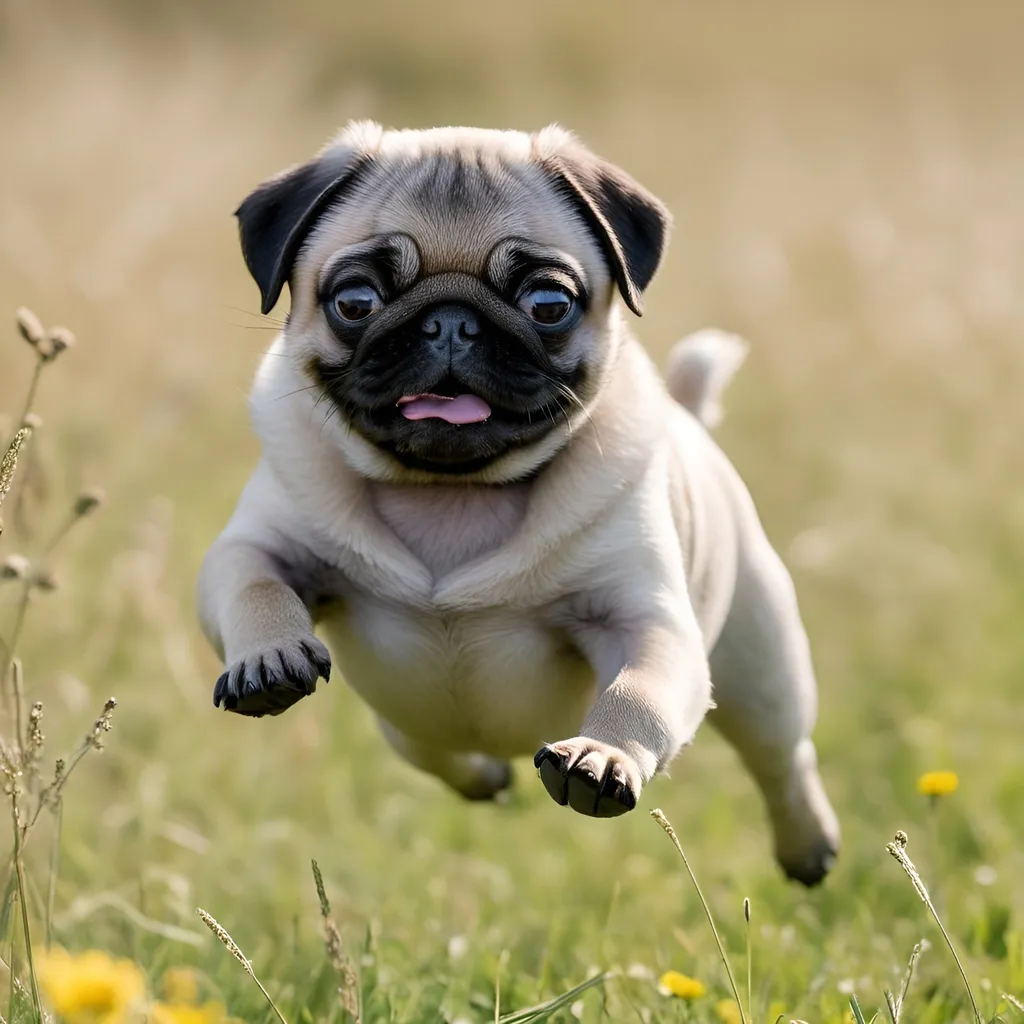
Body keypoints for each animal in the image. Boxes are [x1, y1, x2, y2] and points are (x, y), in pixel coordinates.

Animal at [197, 119, 839, 884]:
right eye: (355, 302)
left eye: (548, 305)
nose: (450, 323)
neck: (453, 494)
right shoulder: (256, 546)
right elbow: (254, 585)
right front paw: (267, 657)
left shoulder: (645, 622)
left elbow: (638, 692)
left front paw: (603, 756)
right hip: (404, 715)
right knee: (431, 747)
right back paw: (484, 774)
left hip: (761, 666)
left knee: (783, 758)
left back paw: (808, 846)